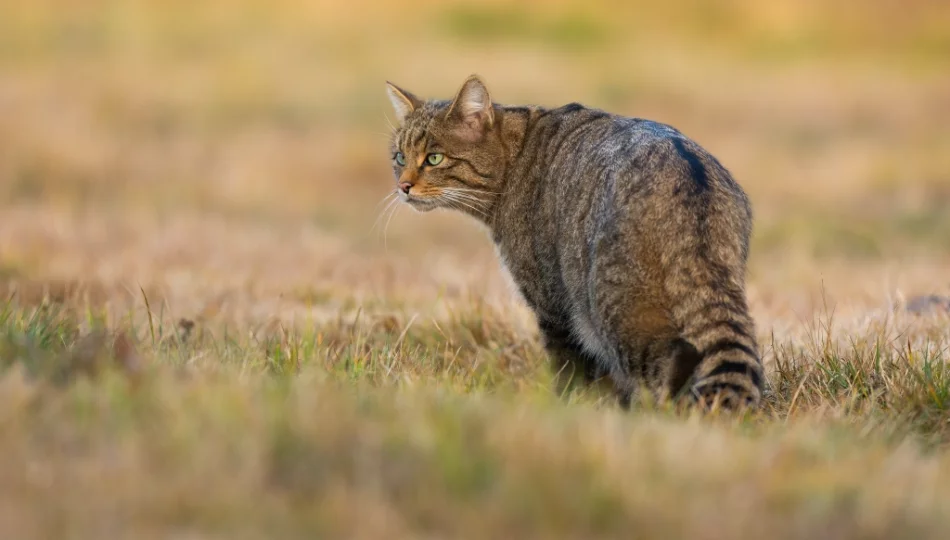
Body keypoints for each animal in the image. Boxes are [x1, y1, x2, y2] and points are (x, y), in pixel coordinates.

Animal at [386, 74, 768, 408]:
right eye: (400, 157)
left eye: (434, 158)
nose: (403, 186)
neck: (515, 156)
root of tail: (688, 176)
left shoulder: (552, 305)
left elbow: (569, 370)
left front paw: (565, 408)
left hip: (612, 307)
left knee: (671, 359)